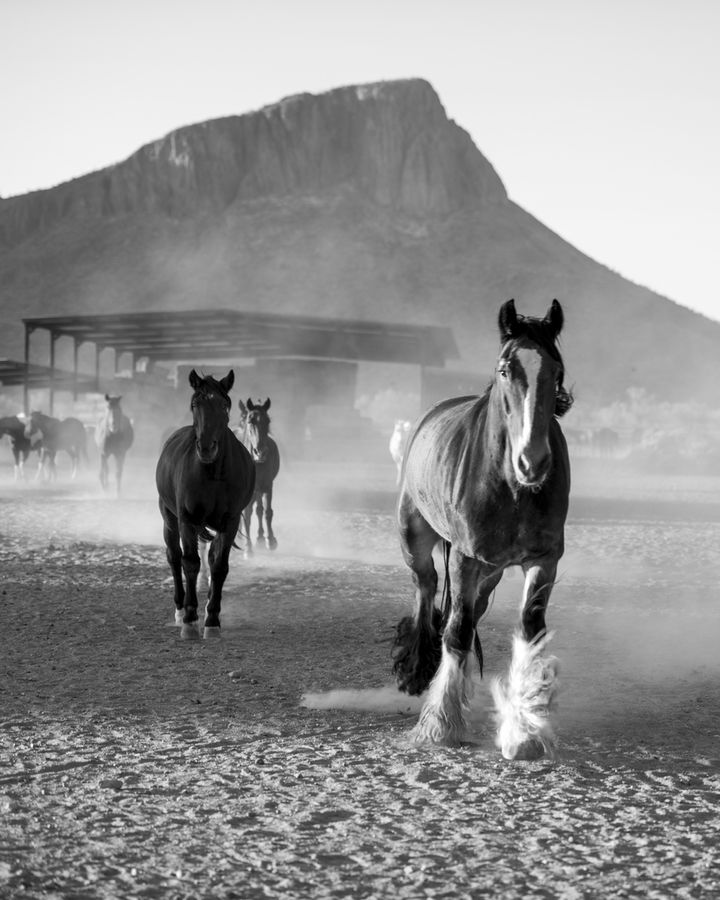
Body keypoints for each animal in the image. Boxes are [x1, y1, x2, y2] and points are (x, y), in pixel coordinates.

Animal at [156, 370, 258, 636]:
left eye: (224, 405)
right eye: (195, 404)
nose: (206, 447)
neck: (212, 474)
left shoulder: (230, 521)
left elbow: (219, 565)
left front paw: (212, 620)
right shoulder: (187, 519)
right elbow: (190, 562)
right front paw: (190, 620)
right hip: (169, 517)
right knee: (174, 556)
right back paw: (180, 610)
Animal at [239, 398, 278, 552]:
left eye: (268, 421)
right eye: (250, 421)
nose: (260, 453)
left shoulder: (267, 486)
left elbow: (267, 512)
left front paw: (271, 541)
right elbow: (247, 514)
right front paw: (247, 547)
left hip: (258, 489)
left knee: (259, 510)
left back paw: (260, 538)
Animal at [390, 300, 572, 760]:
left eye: (556, 370)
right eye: (506, 368)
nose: (532, 462)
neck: (511, 487)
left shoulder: (544, 560)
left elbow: (530, 629)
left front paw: (524, 732)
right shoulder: (465, 558)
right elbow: (455, 632)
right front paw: (439, 726)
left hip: (490, 572)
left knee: (470, 610)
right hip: (416, 538)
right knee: (426, 589)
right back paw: (416, 669)